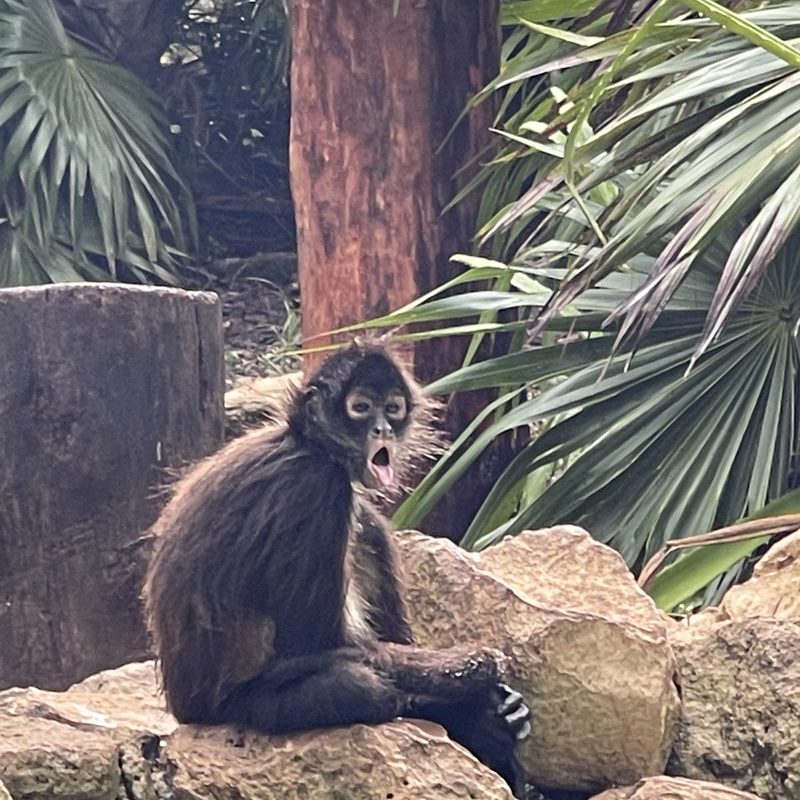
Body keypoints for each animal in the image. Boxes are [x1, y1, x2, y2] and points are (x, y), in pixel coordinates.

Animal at [143, 343, 530, 790]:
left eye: (392, 408)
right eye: (360, 408)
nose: (382, 430)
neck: (306, 444)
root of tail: (185, 707)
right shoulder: (316, 486)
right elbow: (315, 643)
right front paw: (473, 676)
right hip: (239, 707)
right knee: (362, 688)